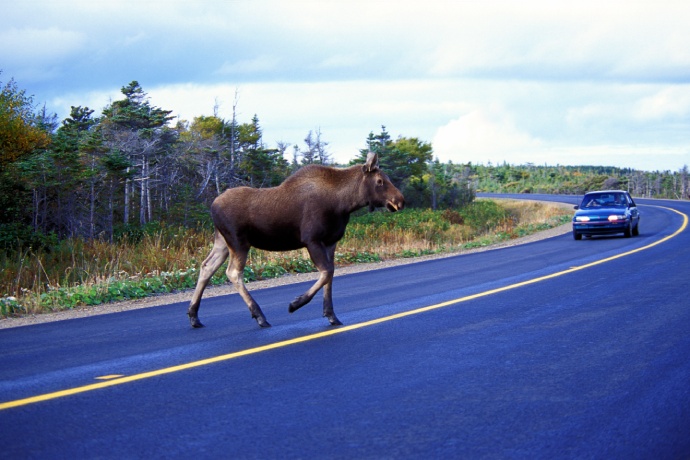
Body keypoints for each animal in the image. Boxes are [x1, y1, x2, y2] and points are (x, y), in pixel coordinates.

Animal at [188, 153, 404, 328]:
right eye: (379, 181)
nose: (400, 200)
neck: (344, 203)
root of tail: (213, 206)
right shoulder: (312, 239)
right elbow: (327, 273)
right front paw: (295, 304)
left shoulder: (331, 242)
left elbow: (331, 275)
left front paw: (331, 315)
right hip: (238, 241)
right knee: (233, 272)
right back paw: (259, 316)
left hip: (222, 242)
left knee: (207, 266)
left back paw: (194, 316)